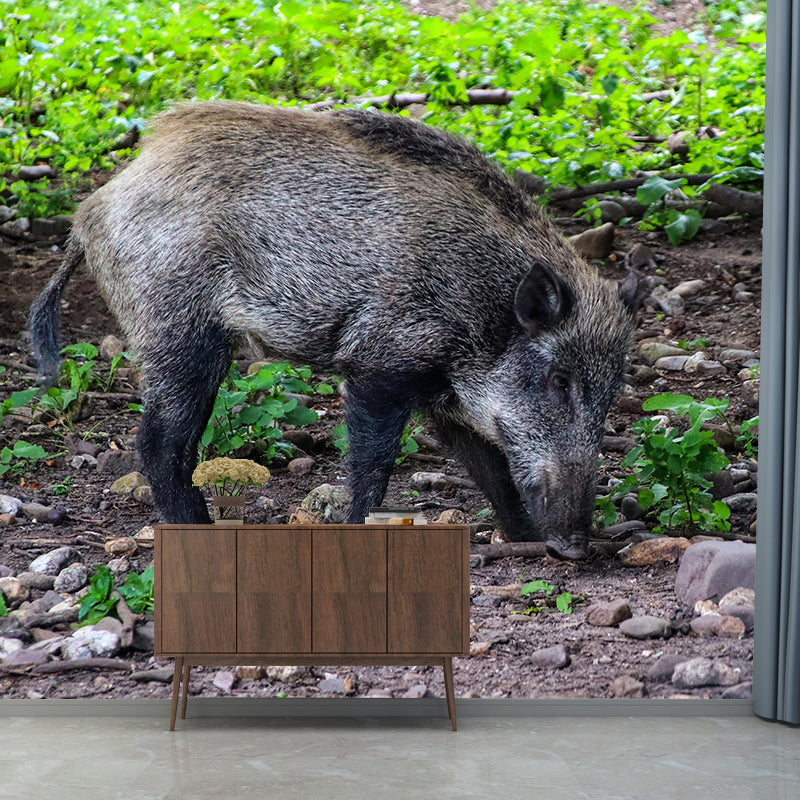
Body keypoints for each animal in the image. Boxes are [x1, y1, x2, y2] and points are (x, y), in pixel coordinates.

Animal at [29, 101, 640, 560]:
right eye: (560, 380)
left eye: (612, 393)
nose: (575, 547)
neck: (482, 306)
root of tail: (91, 211)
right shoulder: (379, 362)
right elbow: (373, 460)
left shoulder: (446, 396)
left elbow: (491, 466)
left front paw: (523, 538)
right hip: (177, 329)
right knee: (159, 442)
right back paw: (197, 531)